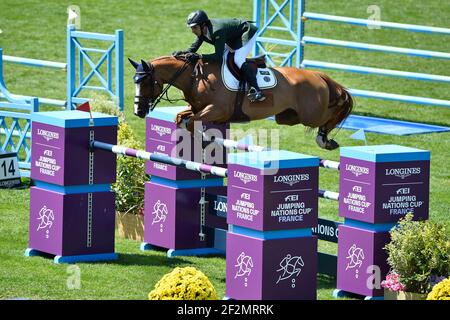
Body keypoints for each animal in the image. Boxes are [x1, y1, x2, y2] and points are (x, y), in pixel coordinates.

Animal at [128, 54, 354, 150]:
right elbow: (181, 117)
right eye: (135, 81)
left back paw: (326, 140)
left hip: (311, 114)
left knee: (332, 112)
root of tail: (317, 75)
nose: (138, 111)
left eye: (145, 82)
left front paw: (204, 139)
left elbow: (192, 122)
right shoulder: (196, 108)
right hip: (287, 117)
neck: (195, 77)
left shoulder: (217, 109)